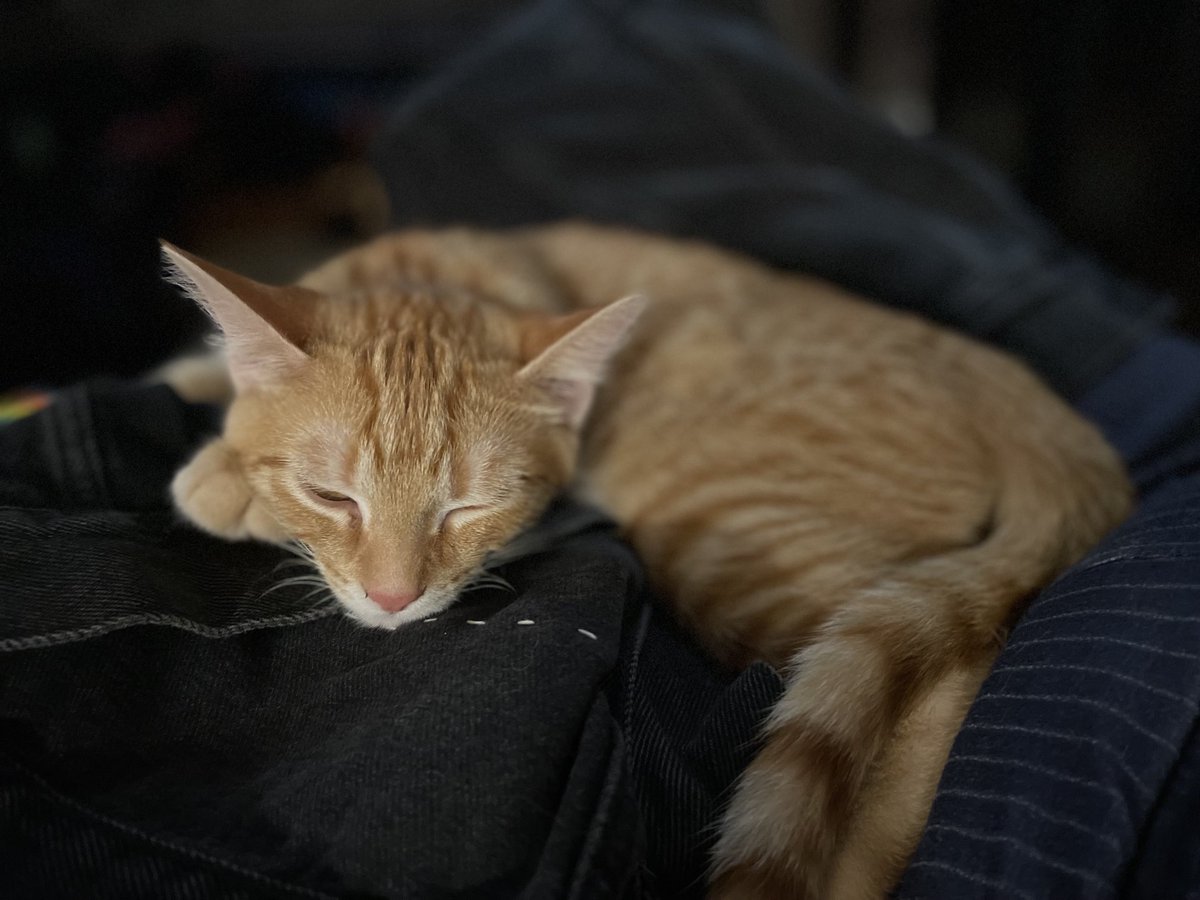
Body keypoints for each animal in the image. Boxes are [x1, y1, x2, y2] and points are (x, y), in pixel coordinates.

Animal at [159, 222, 1132, 897]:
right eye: (333, 496)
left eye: (469, 507)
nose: (393, 597)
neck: (432, 265)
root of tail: (1024, 394)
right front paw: (194, 378)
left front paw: (221, 477)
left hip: (730, 537)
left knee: (950, 685)